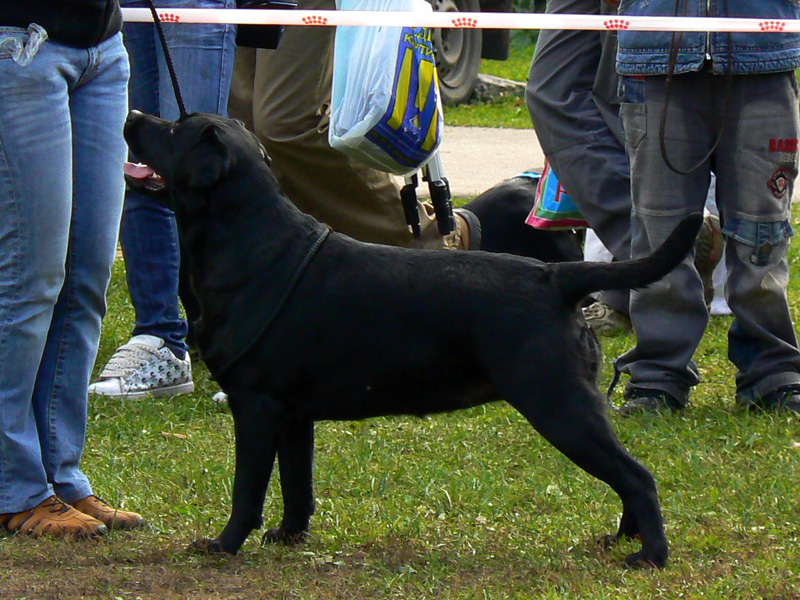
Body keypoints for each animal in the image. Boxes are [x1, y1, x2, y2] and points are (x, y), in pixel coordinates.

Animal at [122, 111, 704, 568]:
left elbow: (248, 489)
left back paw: (650, 555)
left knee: (638, 476)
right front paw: (289, 536)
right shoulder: (293, 415)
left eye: (173, 129)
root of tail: (555, 277)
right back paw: (622, 537)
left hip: (557, 402)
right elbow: (296, 484)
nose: (131, 114)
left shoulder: (257, 406)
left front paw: (223, 545)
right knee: (627, 474)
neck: (249, 240)